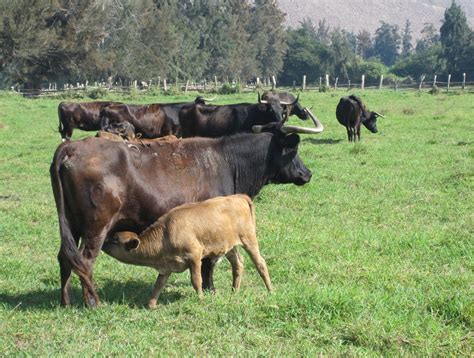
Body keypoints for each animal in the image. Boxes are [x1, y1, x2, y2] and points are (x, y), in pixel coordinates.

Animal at [103, 194, 274, 310]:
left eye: (115, 239)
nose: (103, 243)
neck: (166, 233)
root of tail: (238, 196)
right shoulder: (166, 267)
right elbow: (158, 285)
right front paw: (150, 305)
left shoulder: (194, 255)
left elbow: (196, 280)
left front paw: (201, 299)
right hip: (229, 246)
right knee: (238, 264)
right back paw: (234, 292)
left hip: (249, 239)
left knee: (260, 263)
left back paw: (270, 291)